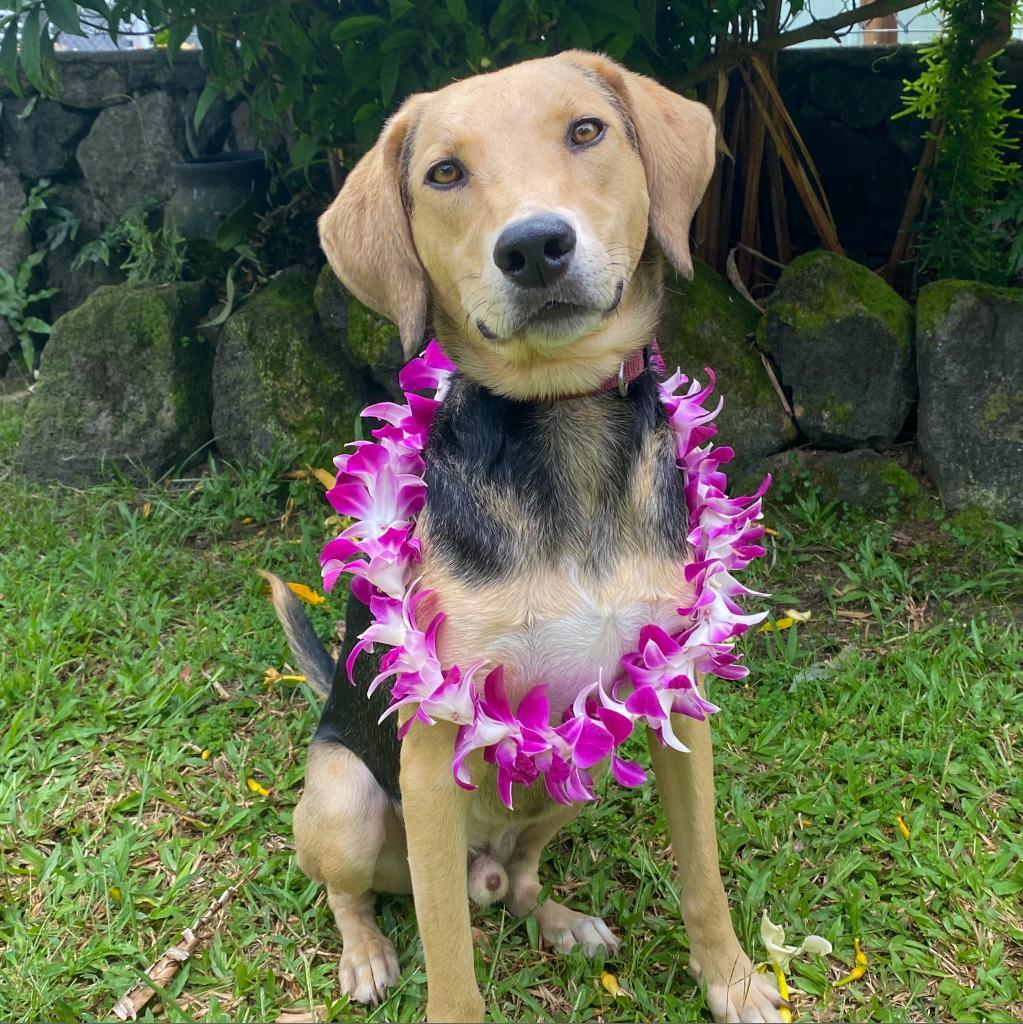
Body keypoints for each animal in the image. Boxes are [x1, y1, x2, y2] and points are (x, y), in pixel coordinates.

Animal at [264, 49, 782, 1024]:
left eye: (587, 130)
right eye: (444, 174)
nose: (534, 246)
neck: (560, 419)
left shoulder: (673, 699)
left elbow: (703, 878)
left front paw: (732, 983)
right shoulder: (431, 753)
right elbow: (449, 962)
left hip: (574, 770)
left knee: (523, 878)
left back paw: (560, 920)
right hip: (349, 801)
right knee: (359, 890)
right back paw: (364, 953)